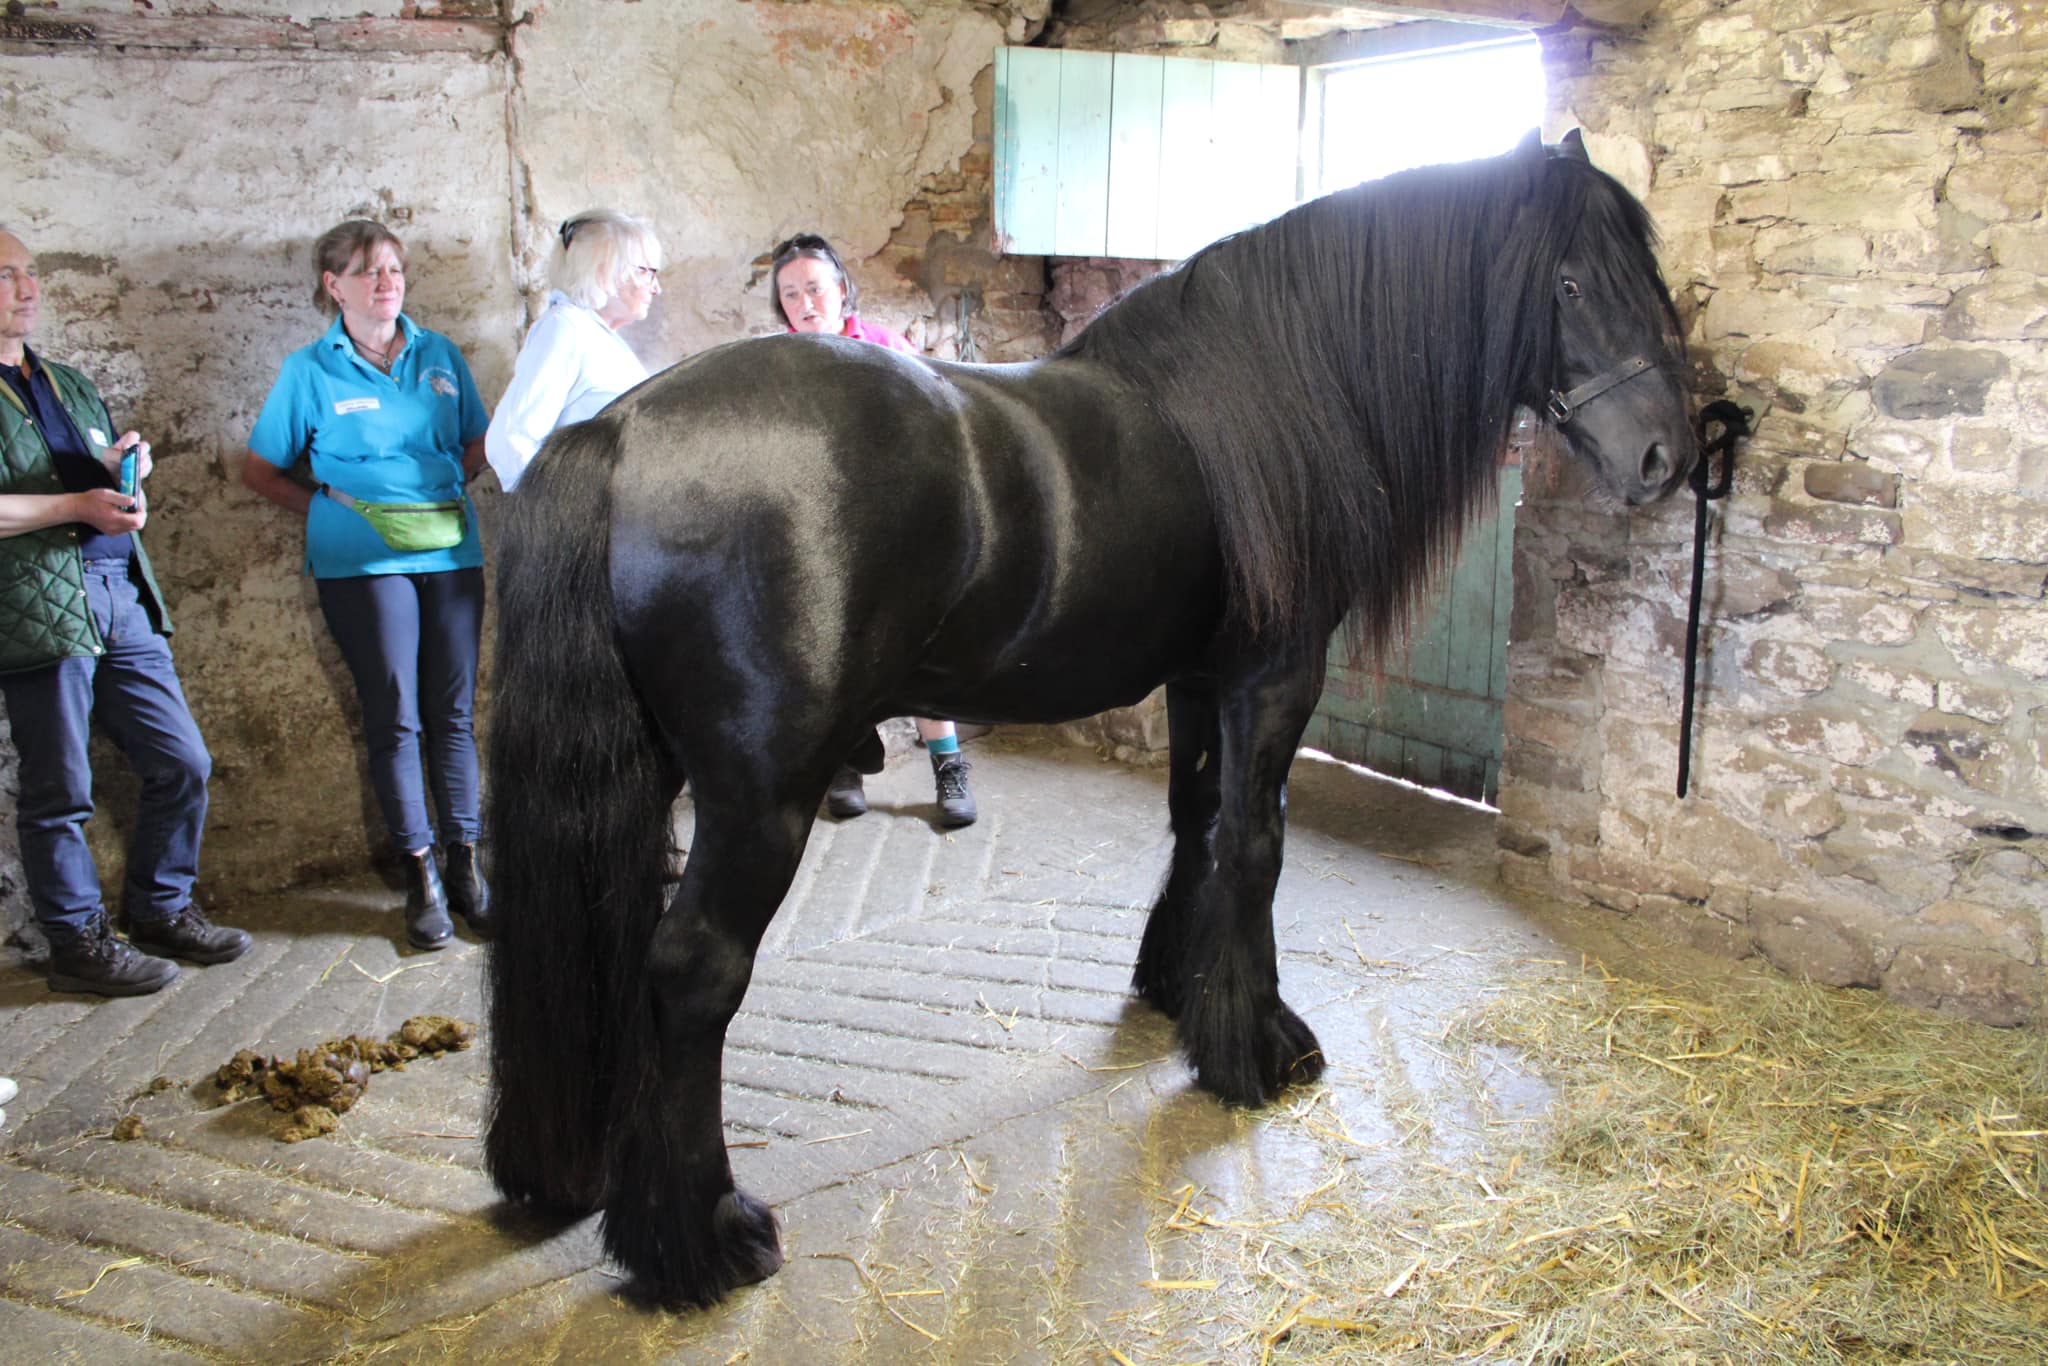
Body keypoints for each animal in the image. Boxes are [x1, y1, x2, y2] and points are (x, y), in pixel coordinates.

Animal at [479, 131, 1695, 1310]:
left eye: (1650, 276)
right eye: (1572, 281)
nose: (1666, 457)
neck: (1279, 382)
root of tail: (623, 432)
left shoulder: (1201, 678)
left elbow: (1198, 821)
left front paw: (1176, 986)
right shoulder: (1272, 678)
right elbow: (1255, 844)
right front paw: (1257, 1046)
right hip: (758, 797)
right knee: (692, 972)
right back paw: (701, 1241)